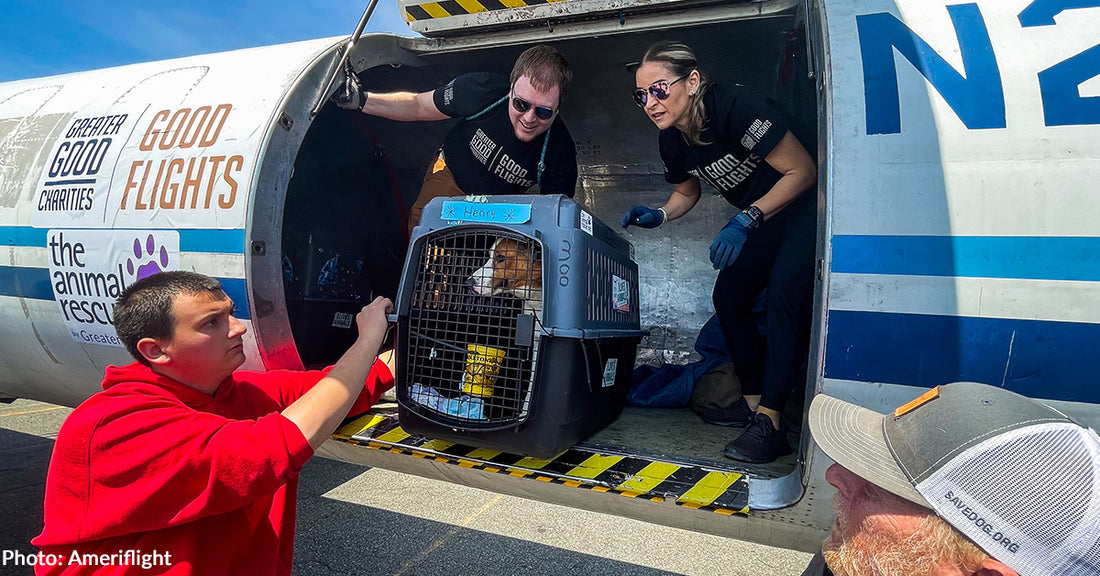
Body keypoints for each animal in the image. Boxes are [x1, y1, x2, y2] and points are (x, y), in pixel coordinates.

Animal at [402, 230, 543, 426]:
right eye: (489, 256)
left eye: (501, 257)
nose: (468, 283)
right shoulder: (536, 340)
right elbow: (531, 384)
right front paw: (523, 414)